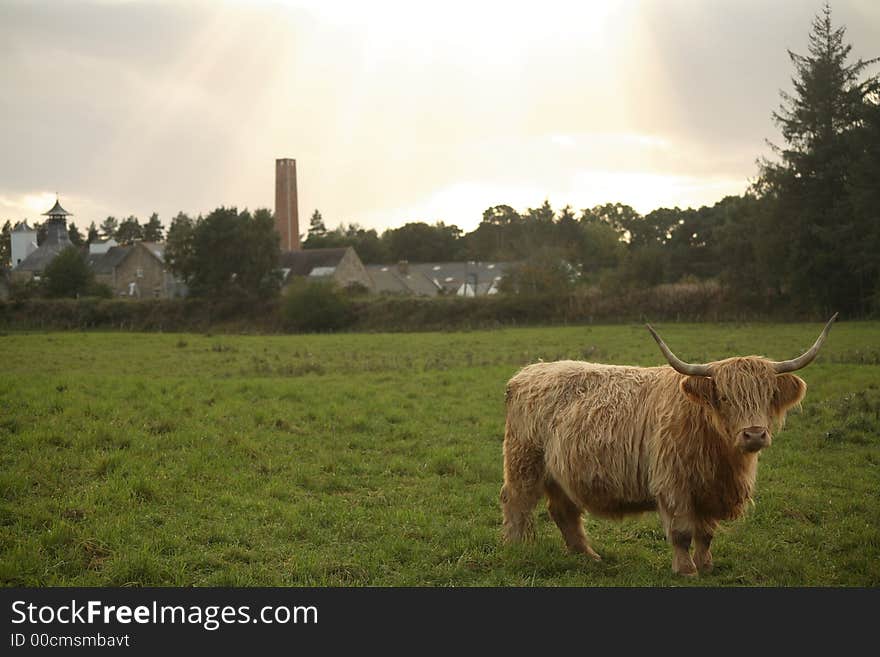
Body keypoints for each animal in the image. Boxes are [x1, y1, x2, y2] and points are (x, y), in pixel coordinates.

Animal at [498, 316, 836, 576]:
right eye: (725, 397)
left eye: (767, 396)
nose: (754, 435)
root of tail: (529, 372)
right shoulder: (673, 484)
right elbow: (682, 532)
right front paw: (686, 570)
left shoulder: (709, 490)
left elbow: (706, 533)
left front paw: (706, 565)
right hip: (524, 462)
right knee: (517, 502)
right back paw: (516, 548)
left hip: (560, 473)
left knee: (564, 511)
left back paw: (588, 556)